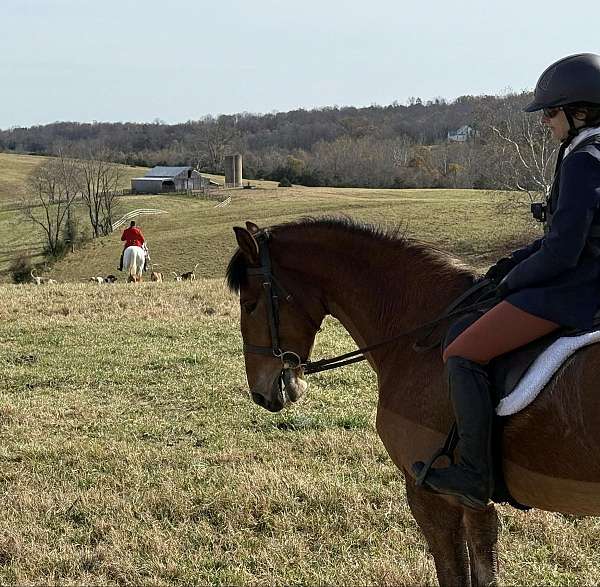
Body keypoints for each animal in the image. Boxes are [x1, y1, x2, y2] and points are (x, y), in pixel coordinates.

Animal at [226, 218, 600, 587]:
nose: (260, 393)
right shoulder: (475, 505)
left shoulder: (430, 495)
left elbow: (453, 574)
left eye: (250, 305)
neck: (417, 334)